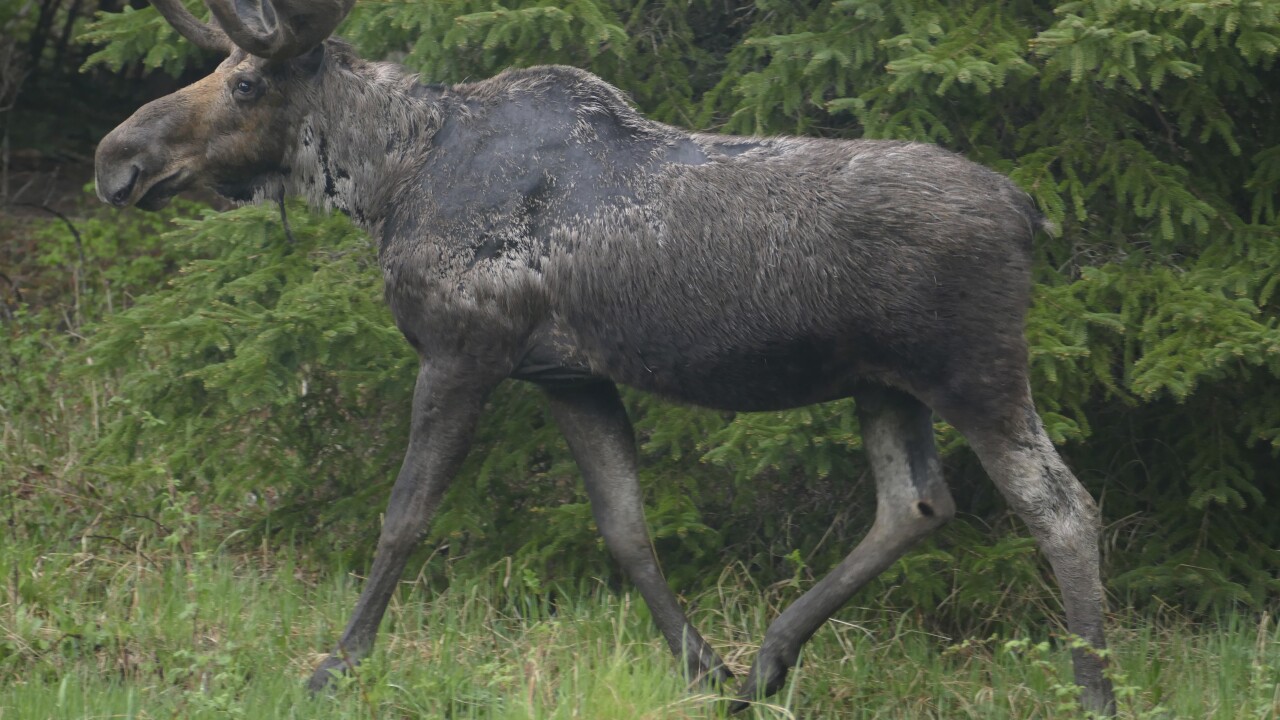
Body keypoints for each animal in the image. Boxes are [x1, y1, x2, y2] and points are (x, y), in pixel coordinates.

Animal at [93, 0, 1117, 714]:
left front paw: (334, 666)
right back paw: (764, 666)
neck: (388, 181)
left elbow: (405, 517)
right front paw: (701, 670)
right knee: (914, 505)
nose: (115, 158)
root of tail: (1030, 213)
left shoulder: (464, 349)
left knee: (1062, 507)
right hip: (882, 384)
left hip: (975, 370)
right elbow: (625, 528)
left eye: (246, 86)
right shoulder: (569, 376)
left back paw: (1095, 692)